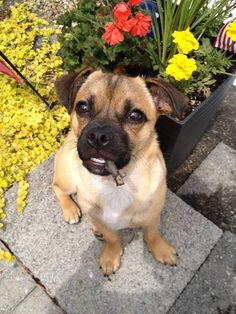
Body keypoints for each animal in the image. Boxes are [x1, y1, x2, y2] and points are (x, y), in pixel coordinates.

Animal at [52, 68, 188, 274]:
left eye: (135, 116)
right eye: (82, 107)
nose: (98, 136)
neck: (115, 181)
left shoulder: (153, 215)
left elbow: (152, 234)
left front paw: (161, 250)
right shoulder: (104, 221)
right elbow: (113, 238)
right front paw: (111, 256)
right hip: (67, 178)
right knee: (56, 187)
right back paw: (71, 210)